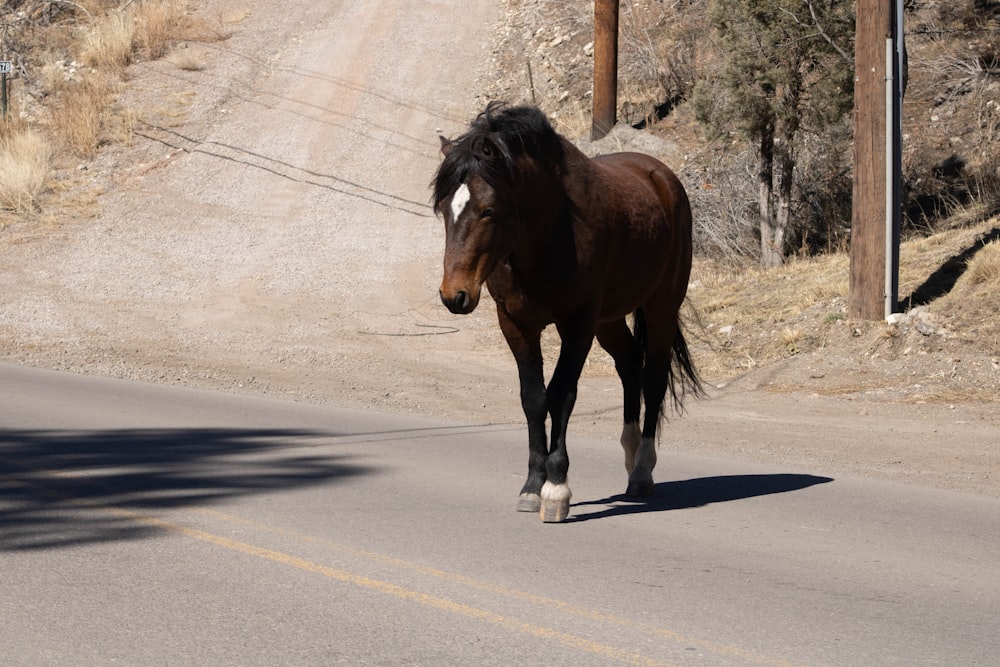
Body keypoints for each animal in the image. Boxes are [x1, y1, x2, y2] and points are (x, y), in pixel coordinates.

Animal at [432, 103, 704, 520]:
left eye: (488, 210)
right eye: (445, 209)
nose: (454, 295)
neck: (552, 232)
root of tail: (661, 175)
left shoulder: (577, 324)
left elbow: (561, 394)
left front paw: (556, 487)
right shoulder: (516, 323)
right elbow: (534, 399)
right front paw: (532, 486)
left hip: (661, 306)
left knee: (654, 379)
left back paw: (642, 470)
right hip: (609, 320)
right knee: (630, 365)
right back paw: (629, 454)